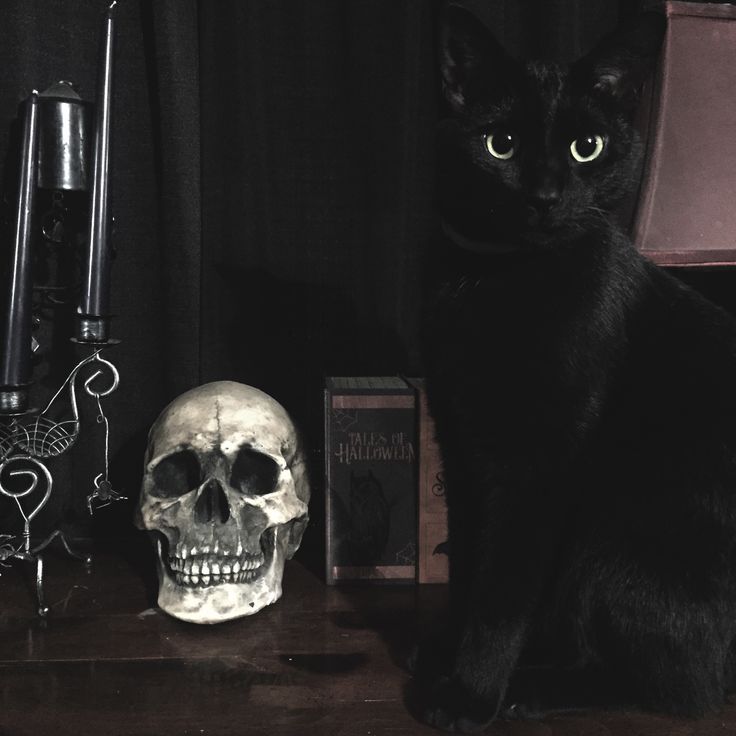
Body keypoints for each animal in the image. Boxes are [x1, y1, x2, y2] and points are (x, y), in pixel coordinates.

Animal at [416, 2, 736, 732]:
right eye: (500, 144)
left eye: (585, 147)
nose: (545, 195)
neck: (505, 281)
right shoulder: (462, 439)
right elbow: (470, 562)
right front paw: (445, 655)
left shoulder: (540, 465)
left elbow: (503, 589)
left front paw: (470, 693)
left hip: (616, 537)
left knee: (686, 683)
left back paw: (530, 688)